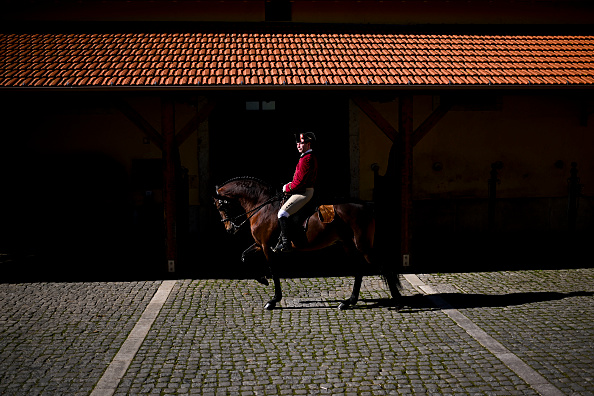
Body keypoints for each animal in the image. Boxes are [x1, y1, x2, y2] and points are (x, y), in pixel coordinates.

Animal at [210, 178, 400, 310]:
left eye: (220, 206)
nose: (229, 228)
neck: (261, 206)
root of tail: (365, 205)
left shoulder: (266, 247)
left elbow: (274, 271)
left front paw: (273, 300)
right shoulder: (260, 244)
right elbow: (244, 257)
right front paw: (262, 279)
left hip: (363, 246)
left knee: (382, 266)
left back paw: (397, 301)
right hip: (348, 244)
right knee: (359, 271)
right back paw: (348, 302)